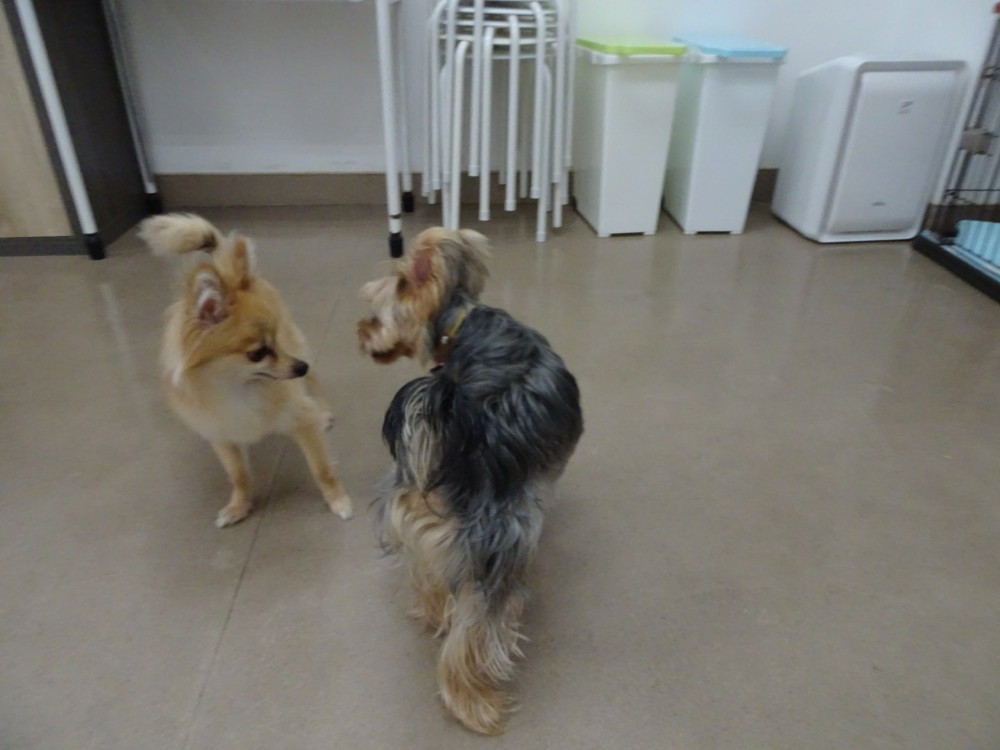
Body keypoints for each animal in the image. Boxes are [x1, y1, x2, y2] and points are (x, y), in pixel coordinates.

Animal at [140, 213, 352, 528]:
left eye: (276, 341)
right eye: (258, 353)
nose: (299, 367)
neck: (235, 389)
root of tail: (226, 270)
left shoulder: (302, 420)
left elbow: (322, 469)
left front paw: (337, 500)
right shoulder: (221, 435)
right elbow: (238, 475)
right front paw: (239, 505)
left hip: (299, 345)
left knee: (316, 380)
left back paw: (324, 410)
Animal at [358, 227, 583, 734]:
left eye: (376, 318)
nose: (360, 334)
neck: (460, 323)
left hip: (417, 513)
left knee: (430, 578)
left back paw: (435, 612)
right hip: (500, 542)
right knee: (473, 630)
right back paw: (474, 705)